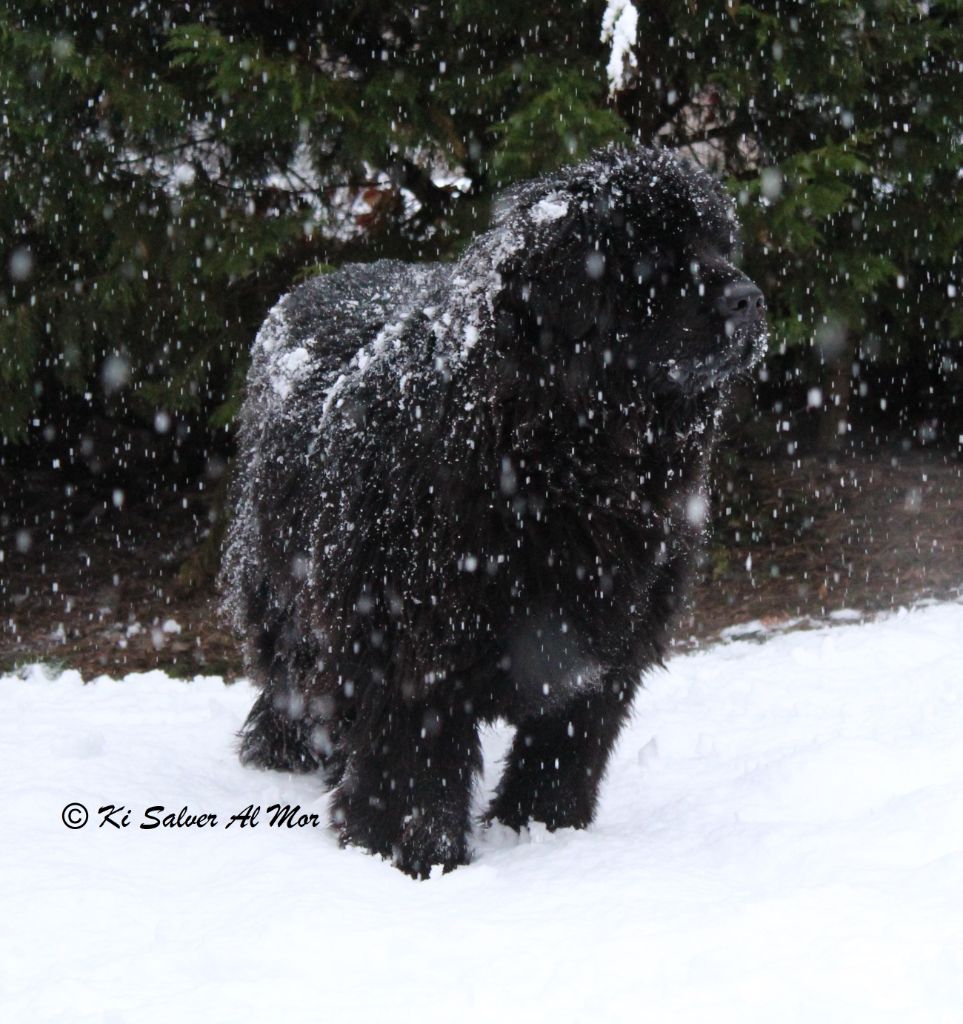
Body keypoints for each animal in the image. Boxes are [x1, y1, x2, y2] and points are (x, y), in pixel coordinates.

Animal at [220, 146, 766, 880]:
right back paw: (285, 753)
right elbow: (415, 764)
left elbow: (567, 747)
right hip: (288, 578)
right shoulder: (410, 639)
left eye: (720, 245)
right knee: (295, 672)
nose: (748, 298)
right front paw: (412, 855)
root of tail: (312, 285)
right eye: (653, 256)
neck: (560, 460)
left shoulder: (610, 634)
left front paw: (545, 831)